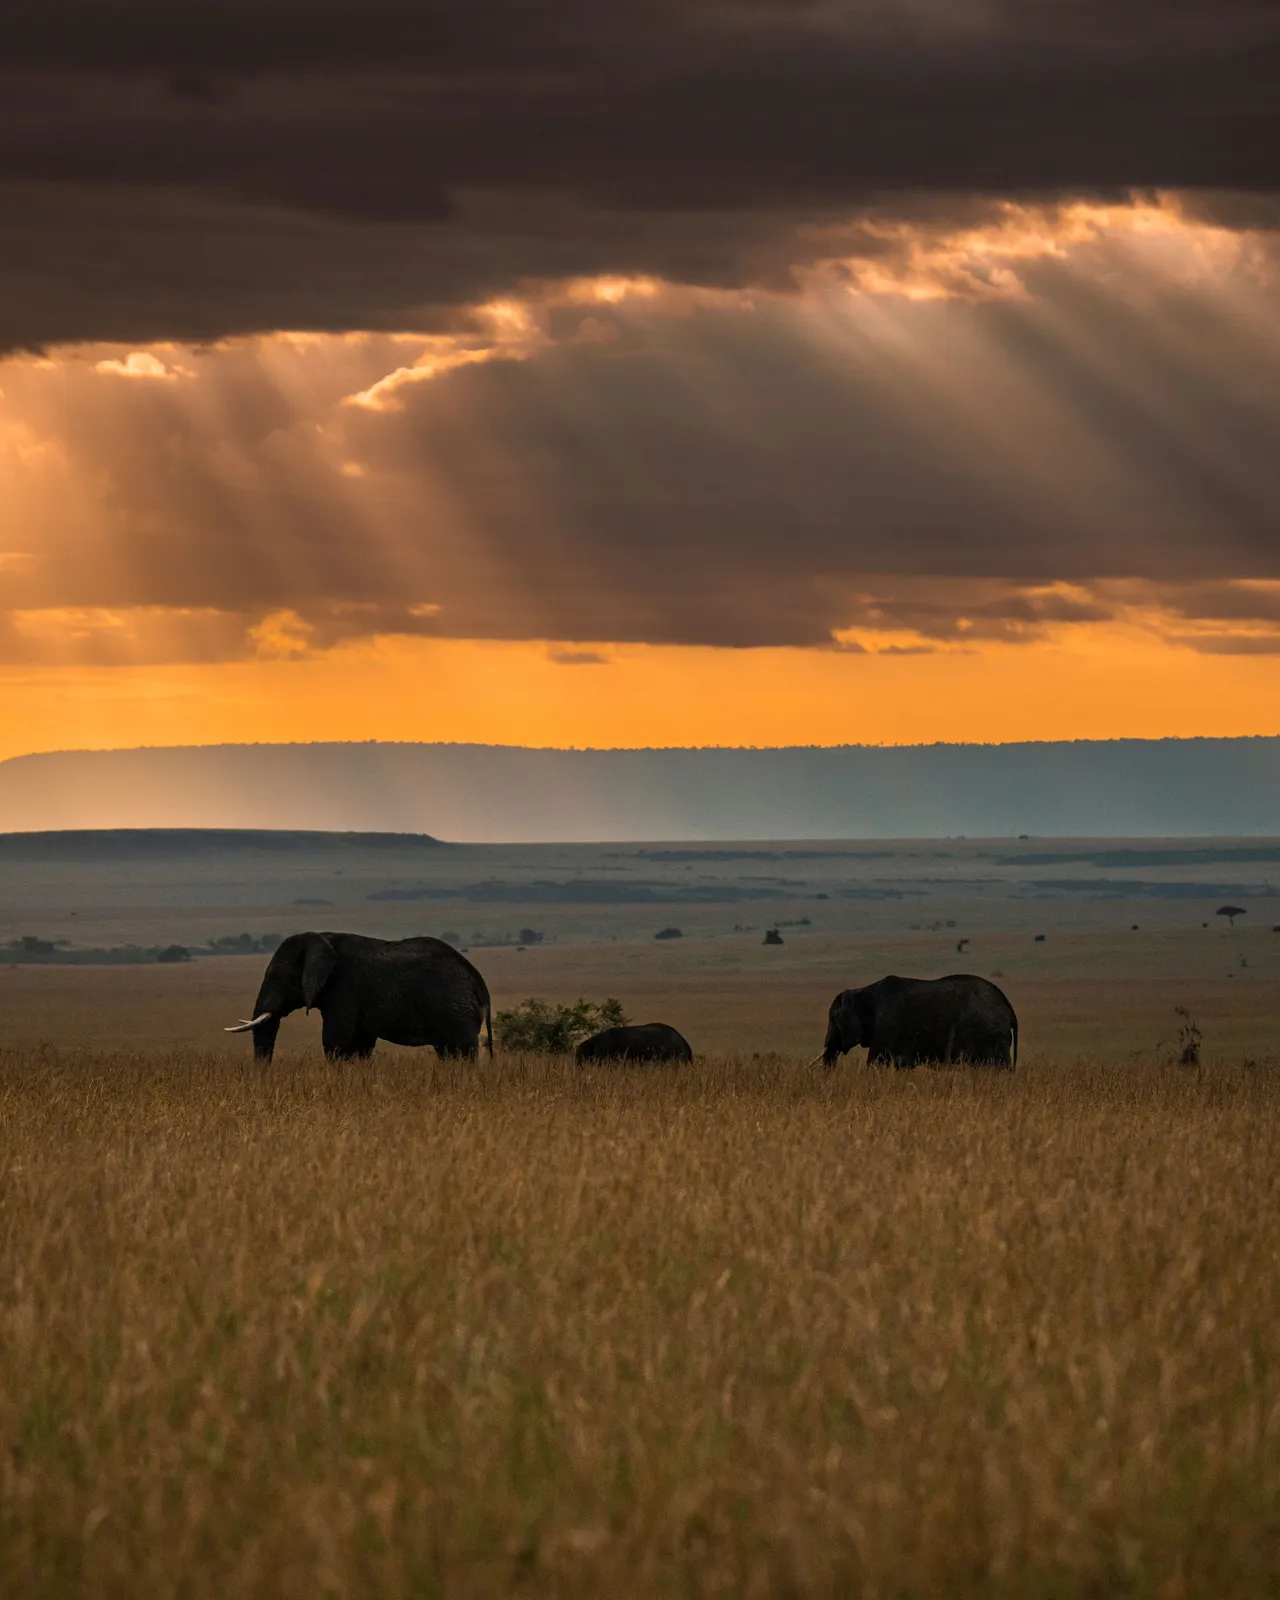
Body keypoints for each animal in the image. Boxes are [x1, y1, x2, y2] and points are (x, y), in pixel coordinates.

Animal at [225, 932, 492, 1062]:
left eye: (279, 978)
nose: (263, 1076)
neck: (320, 938)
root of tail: (479, 982)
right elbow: (361, 1043)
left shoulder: (344, 989)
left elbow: (336, 1041)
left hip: (455, 1009)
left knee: (460, 1051)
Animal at [819, 974, 1017, 1070]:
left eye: (833, 1019)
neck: (862, 993)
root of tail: (1009, 1009)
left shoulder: (886, 1026)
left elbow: (876, 1061)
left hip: (990, 1033)